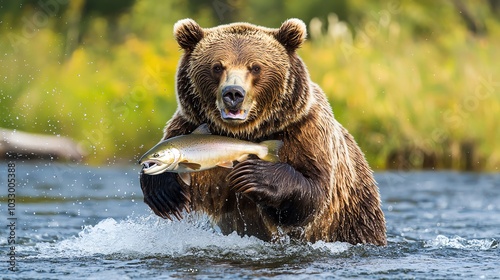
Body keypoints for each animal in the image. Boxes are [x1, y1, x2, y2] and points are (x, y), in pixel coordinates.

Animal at [141, 18, 386, 245]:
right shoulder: (188, 126)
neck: (244, 134)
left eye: (255, 67)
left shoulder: (306, 131)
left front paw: (253, 174)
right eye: (217, 66)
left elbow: (315, 193)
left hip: (356, 218)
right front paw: (165, 193)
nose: (233, 93)